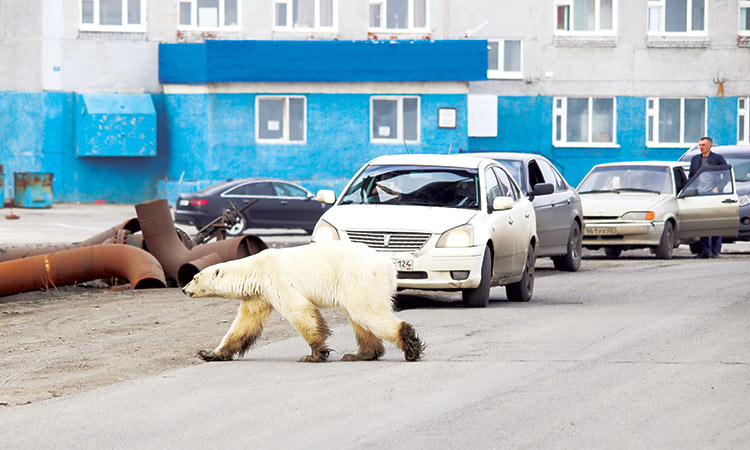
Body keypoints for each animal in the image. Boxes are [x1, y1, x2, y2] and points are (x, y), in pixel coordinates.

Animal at [183, 243, 426, 362]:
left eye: (194, 277)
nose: (184, 289)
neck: (254, 268)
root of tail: (389, 265)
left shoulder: (275, 278)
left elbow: (299, 310)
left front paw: (314, 354)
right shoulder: (259, 295)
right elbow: (244, 324)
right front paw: (210, 353)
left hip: (359, 277)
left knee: (366, 312)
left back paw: (410, 345)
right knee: (360, 319)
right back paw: (359, 354)